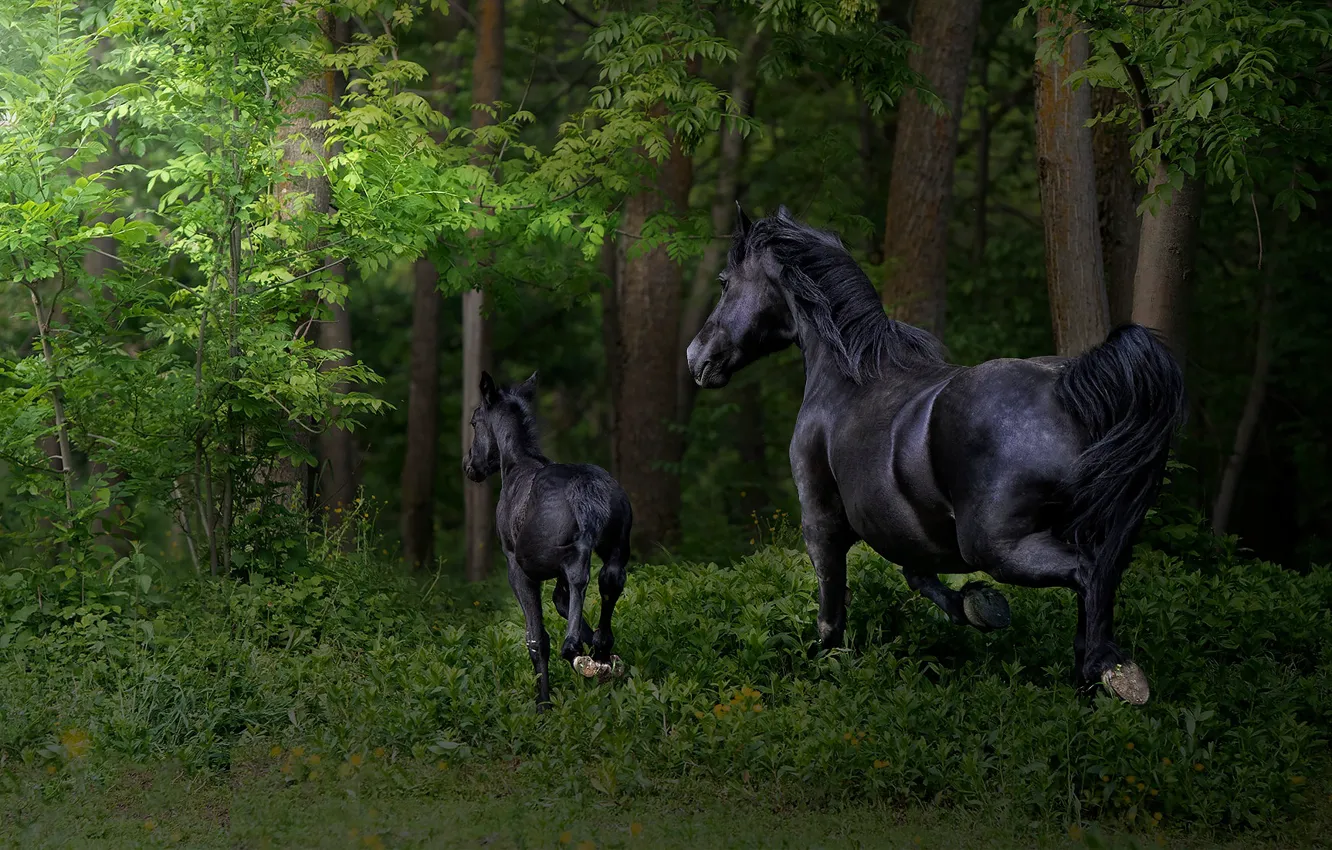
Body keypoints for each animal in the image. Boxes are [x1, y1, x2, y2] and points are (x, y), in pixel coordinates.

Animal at [464, 371, 633, 711]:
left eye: (475, 421)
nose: (470, 466)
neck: (515, 465)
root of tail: (587, 490)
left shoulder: (518, 569)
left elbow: (537, 638)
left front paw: (543, 704)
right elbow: (562, 603)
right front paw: (598, 652)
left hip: (550, 557)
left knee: (580, 575)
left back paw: (577, 653)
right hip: (616, 551)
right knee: (608, 583)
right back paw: (602, 653)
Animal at [685, 206, 1185, 704]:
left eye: (725, 282)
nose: (696, 357)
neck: (849, 374)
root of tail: (1071, 389)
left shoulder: (822, 521)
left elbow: (832, 614)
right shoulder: (908, 529)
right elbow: (920, 579)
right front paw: (980, 606)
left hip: (997, 546)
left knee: (1089, 574)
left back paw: (1116, 672)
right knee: (1100, 583)